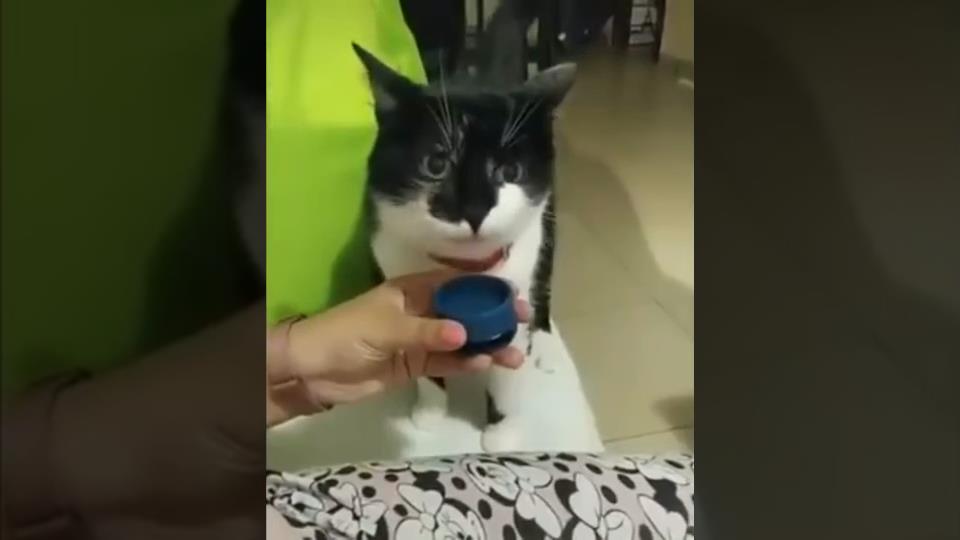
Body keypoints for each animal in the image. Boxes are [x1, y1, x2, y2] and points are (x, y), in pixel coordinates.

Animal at [353, 43, 576, 452]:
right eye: (435, 163)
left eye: (511, 172)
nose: (474, 211)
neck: (462, 267)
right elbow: (421, 352)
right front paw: (430, 409)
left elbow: (509, 362)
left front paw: (502, 432)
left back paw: (544, 341)